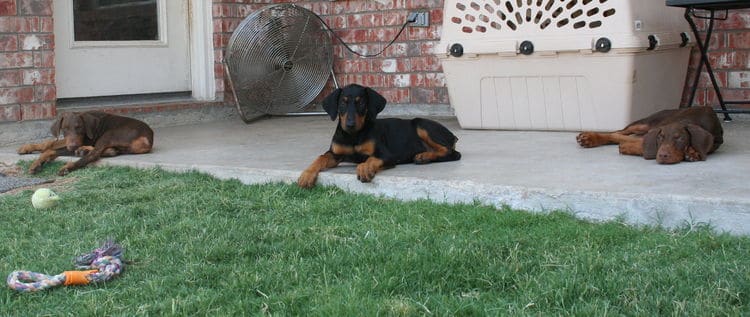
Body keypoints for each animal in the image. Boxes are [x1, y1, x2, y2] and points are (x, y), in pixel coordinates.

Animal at [17, 110, 154, 175]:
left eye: (79, 127)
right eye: (65, 128)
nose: (73, 146)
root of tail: (148, 138)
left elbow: (50, 150)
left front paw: (36, 163)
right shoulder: (69, 141)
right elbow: (49, 143)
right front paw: (27, 148)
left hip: (110, 134)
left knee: (93, 155)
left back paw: (69, 165)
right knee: (107, 151)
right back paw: (86, 150)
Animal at [296, 84, 462, 188]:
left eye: (361, 103)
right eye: (342, 103)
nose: (350, 124)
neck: (353, 136)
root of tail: (452, 135)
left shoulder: (387, 155)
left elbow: (371, 159)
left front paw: (364, 168)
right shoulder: (335, 153)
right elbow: (320, 158)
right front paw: (307, 174)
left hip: (421, 124)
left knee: (452, 153)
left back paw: (424, 156)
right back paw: (424, 156)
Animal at [580, 106, 724, 164]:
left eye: (680, 138)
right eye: (660, 137)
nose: (663, 156)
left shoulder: (716, 141)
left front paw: (693, 152)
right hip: (645, 123)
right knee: (617, 133)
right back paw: (591, 138)